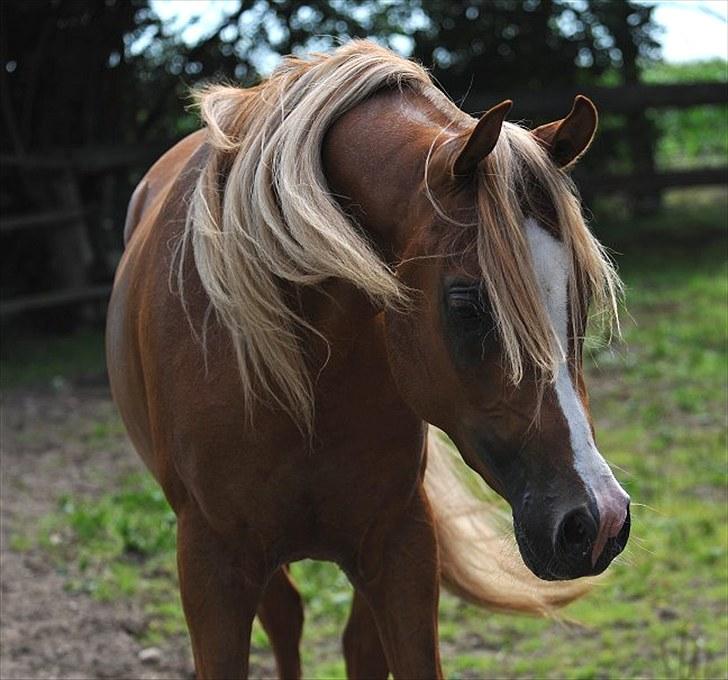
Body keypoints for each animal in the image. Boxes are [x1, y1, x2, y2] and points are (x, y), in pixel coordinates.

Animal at [106, 42, 632, 680]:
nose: (599, 520)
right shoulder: (212, 567)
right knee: (287, 616)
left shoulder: (401, 545)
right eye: (467, 302)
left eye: (583, 293)